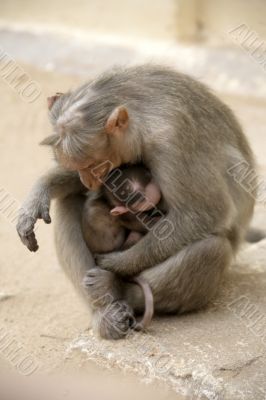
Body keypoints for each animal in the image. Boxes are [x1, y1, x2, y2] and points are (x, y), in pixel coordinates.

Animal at [16, 66, 256, 340]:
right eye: (80, 168)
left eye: (93, 166)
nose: (89, 181)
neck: (142, 120)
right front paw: (38, 194)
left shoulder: (173, 141)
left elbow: (206, 214)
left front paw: (117, 264)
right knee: (69, 201)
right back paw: (104, 310)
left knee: (213, 248)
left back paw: (117, 287)